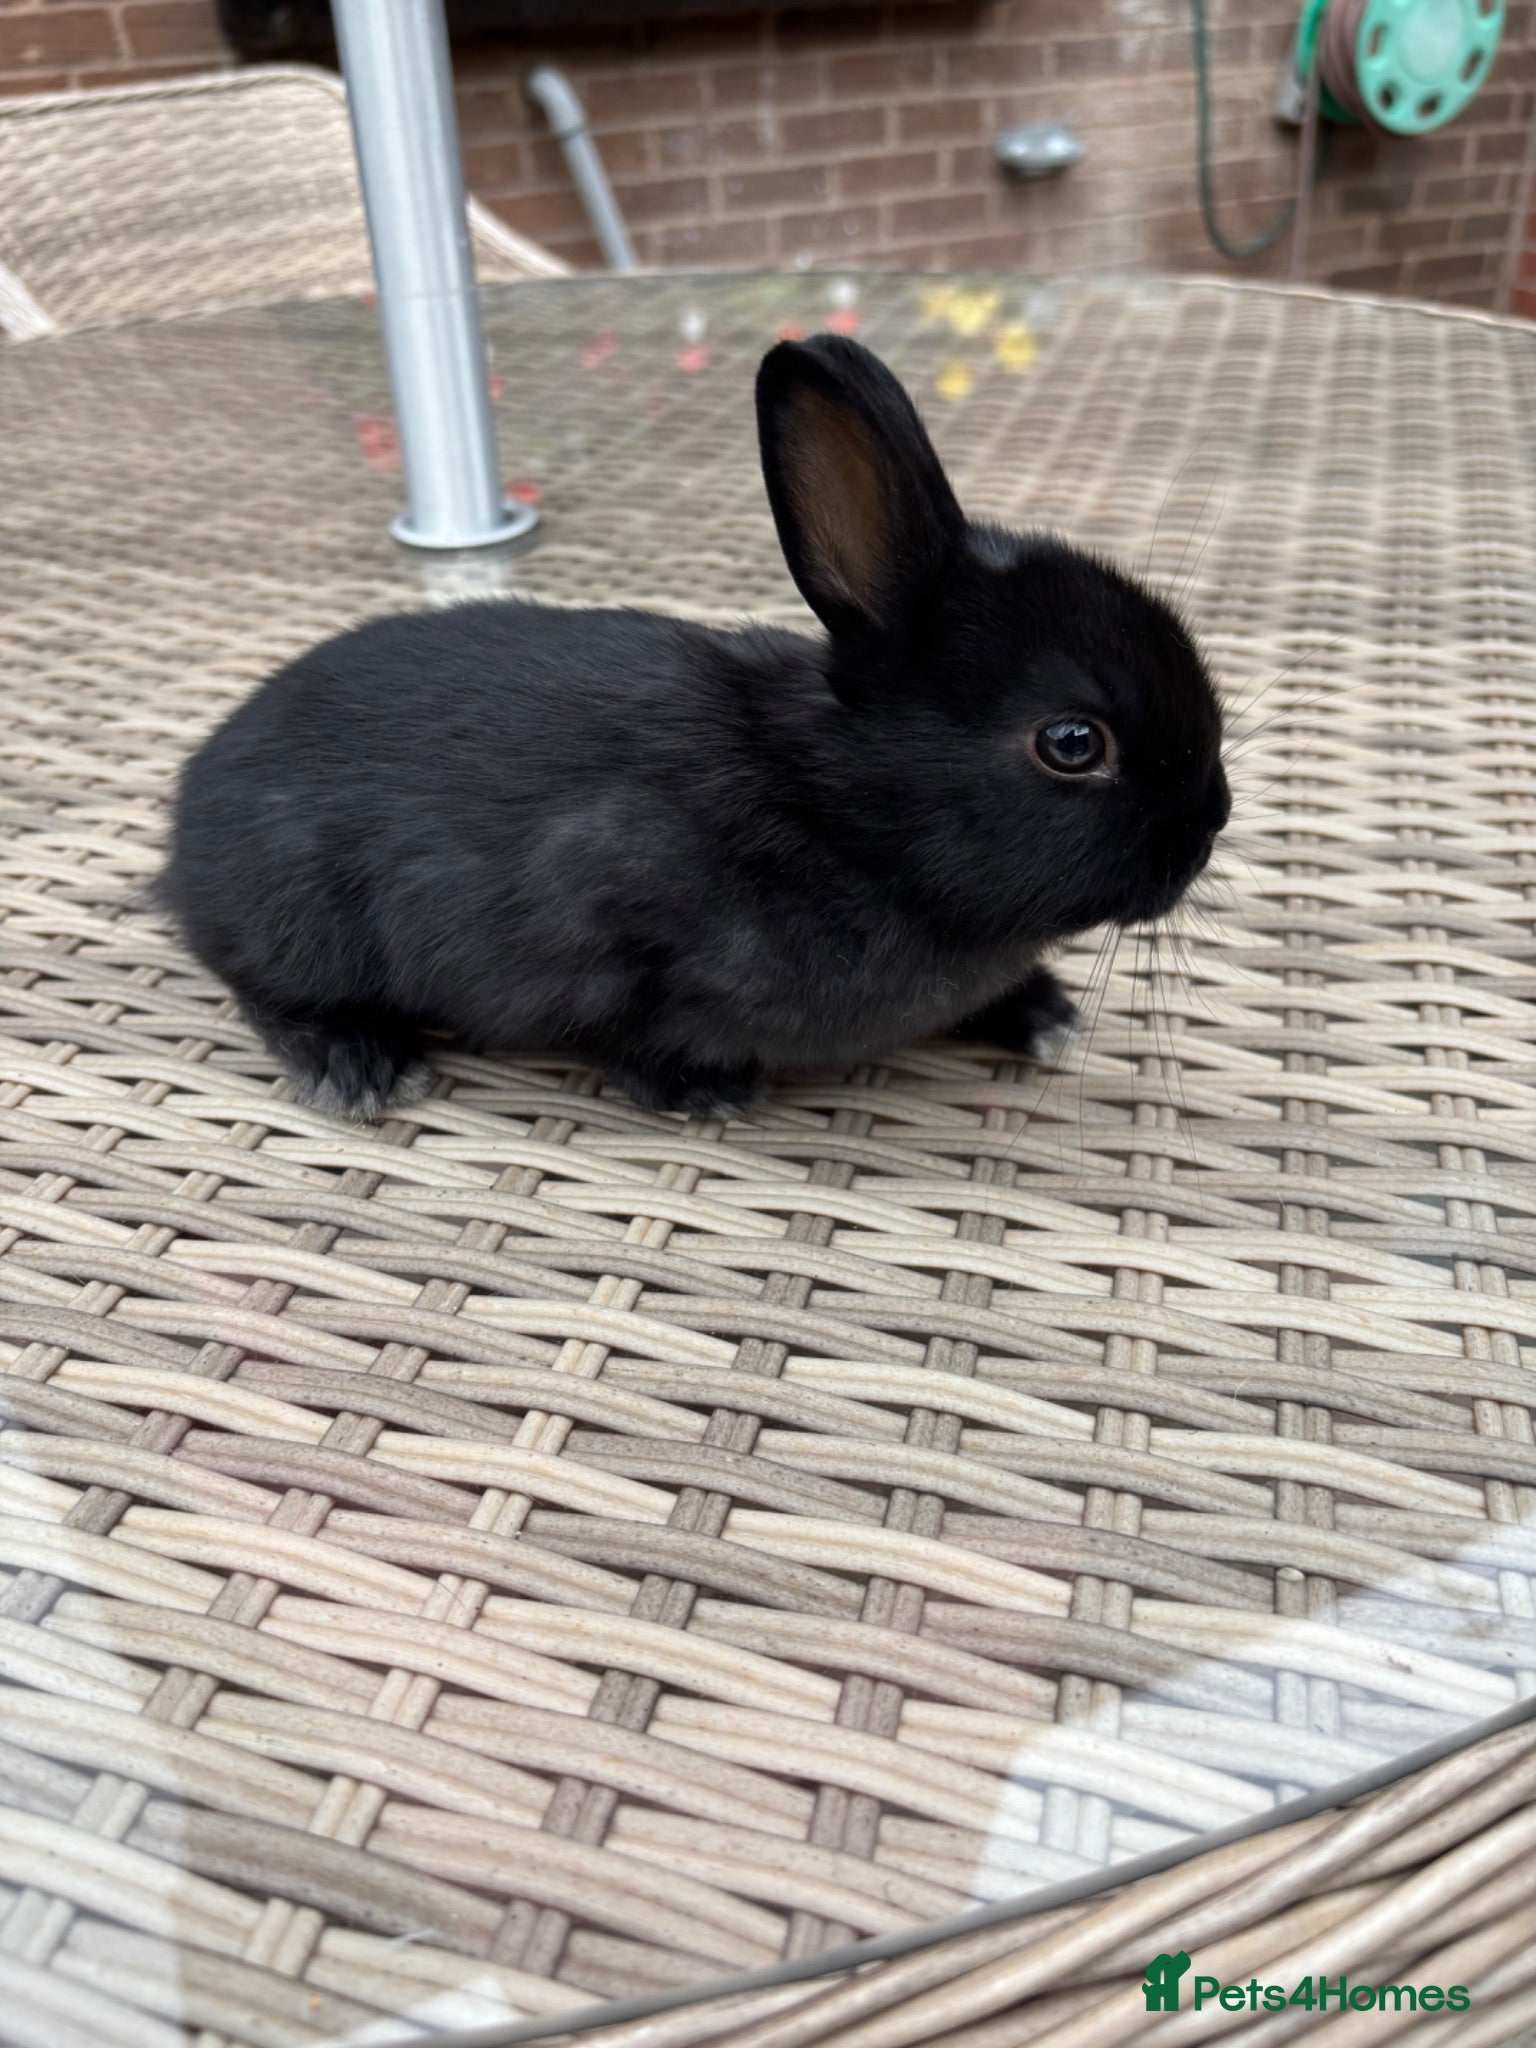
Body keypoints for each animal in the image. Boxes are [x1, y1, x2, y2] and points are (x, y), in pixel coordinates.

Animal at [159, 333, 1229, 1120]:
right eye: (1072, 744)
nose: (1212, 820)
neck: (843, 816)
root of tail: (186, 823)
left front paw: (1044, 1013)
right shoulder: (590, 900)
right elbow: (603, 1026)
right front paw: (698, 1088)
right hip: (299, 914)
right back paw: (354, 1064)